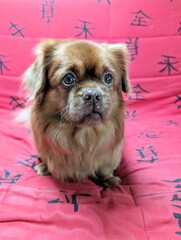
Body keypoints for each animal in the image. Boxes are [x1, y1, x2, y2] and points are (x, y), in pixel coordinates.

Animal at [21, 39, 131, 188]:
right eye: (68, 78)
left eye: (108, 78)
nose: (93, 94)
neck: (84, 136)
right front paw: (46, 166)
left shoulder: (110, 157)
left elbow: (104, 169)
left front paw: (108, 179)